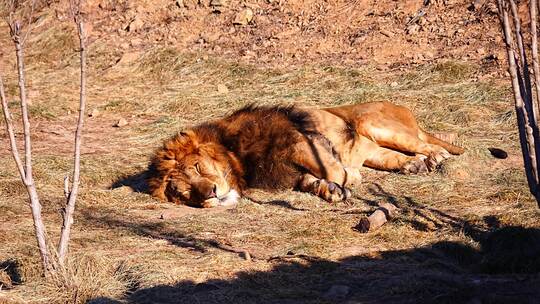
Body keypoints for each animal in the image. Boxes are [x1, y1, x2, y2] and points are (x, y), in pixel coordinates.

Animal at [148, 101, 464, 207]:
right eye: (185, 193)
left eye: (198, 167)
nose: (211, 193)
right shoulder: (291, 172)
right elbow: (313, 181)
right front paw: (331, 191)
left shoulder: (299, 141)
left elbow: (333, 168)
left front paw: (348, 179)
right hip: (376, 152)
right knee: (397, 157)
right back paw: (415, 167)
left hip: (372, 122)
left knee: (427, 144)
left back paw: (436, 158)